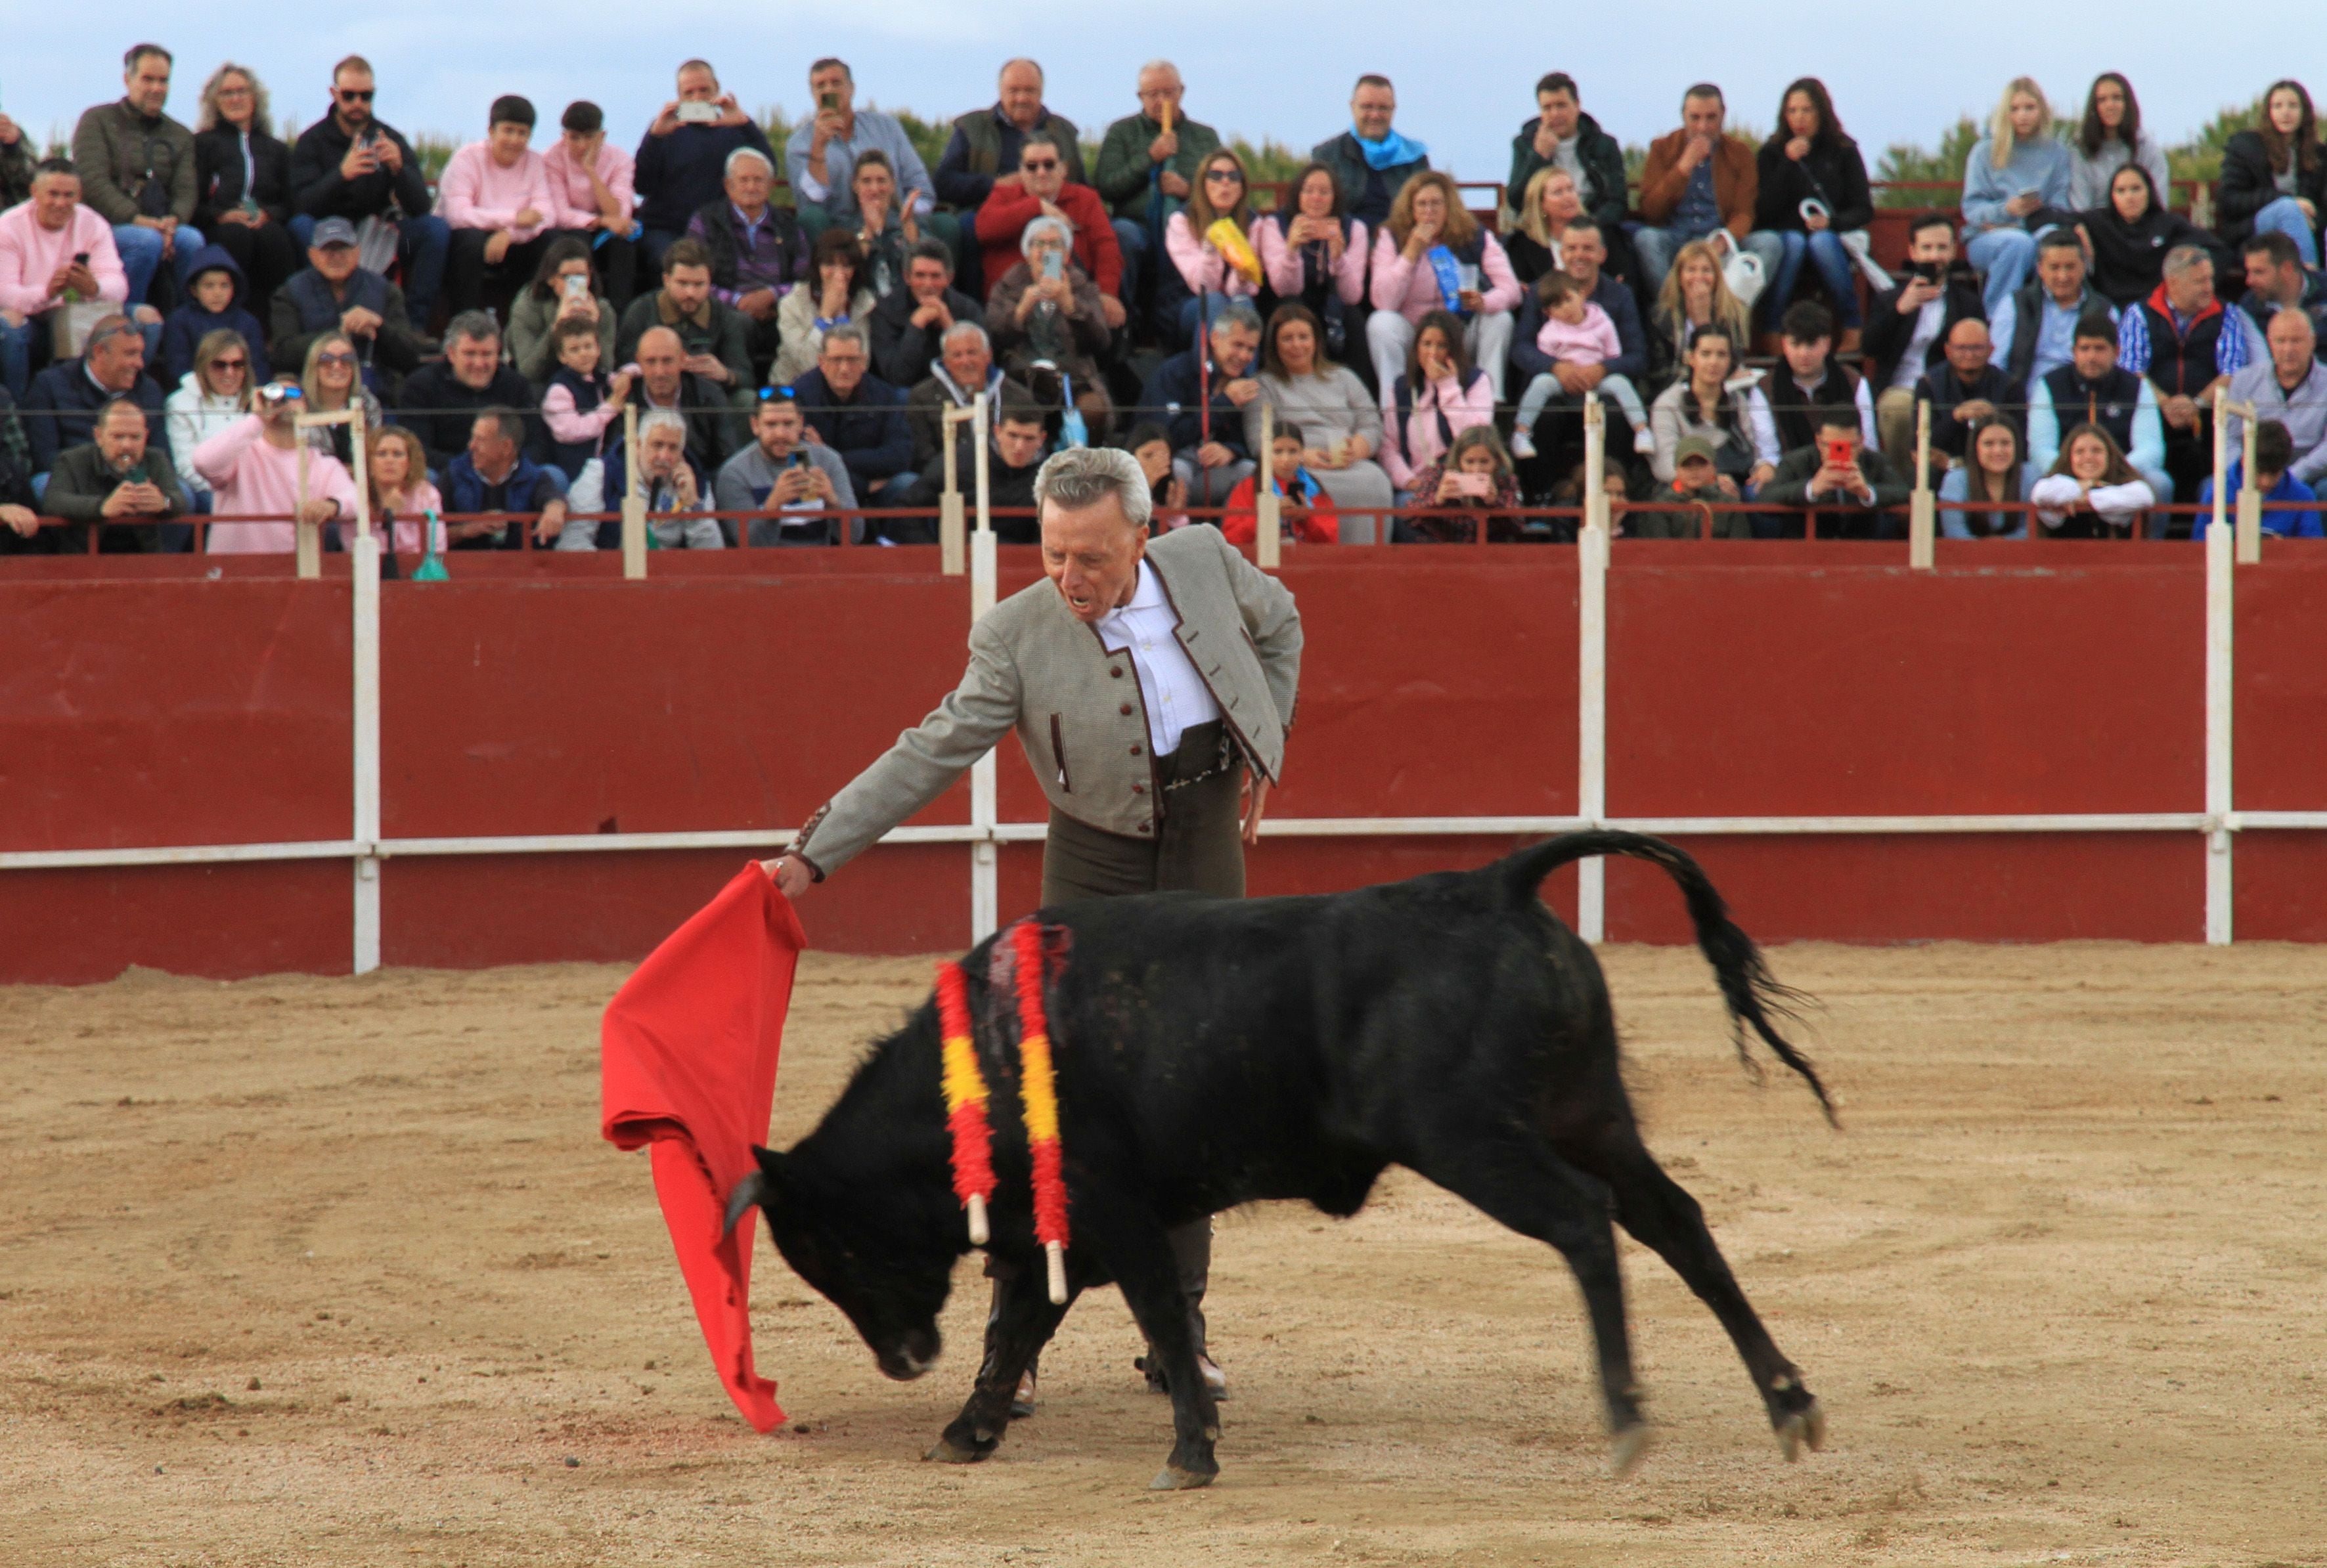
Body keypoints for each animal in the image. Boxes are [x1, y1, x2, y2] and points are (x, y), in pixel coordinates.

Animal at [726, 823, 1833, 1479]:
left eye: (836, 1248)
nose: (902, 1361)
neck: (982, 1060)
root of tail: (1497, 884)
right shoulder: (1072, 1228)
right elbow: (1030, 1325)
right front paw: (970, 1428)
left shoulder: (1110, 1210)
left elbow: (1155, 1316)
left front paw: (1189, 1452)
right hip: (1588, 1112)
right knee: (1674, 1221)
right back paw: (1787, 1404)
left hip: (1473, 1141)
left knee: (1581, 1223)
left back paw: (1626, 1419)